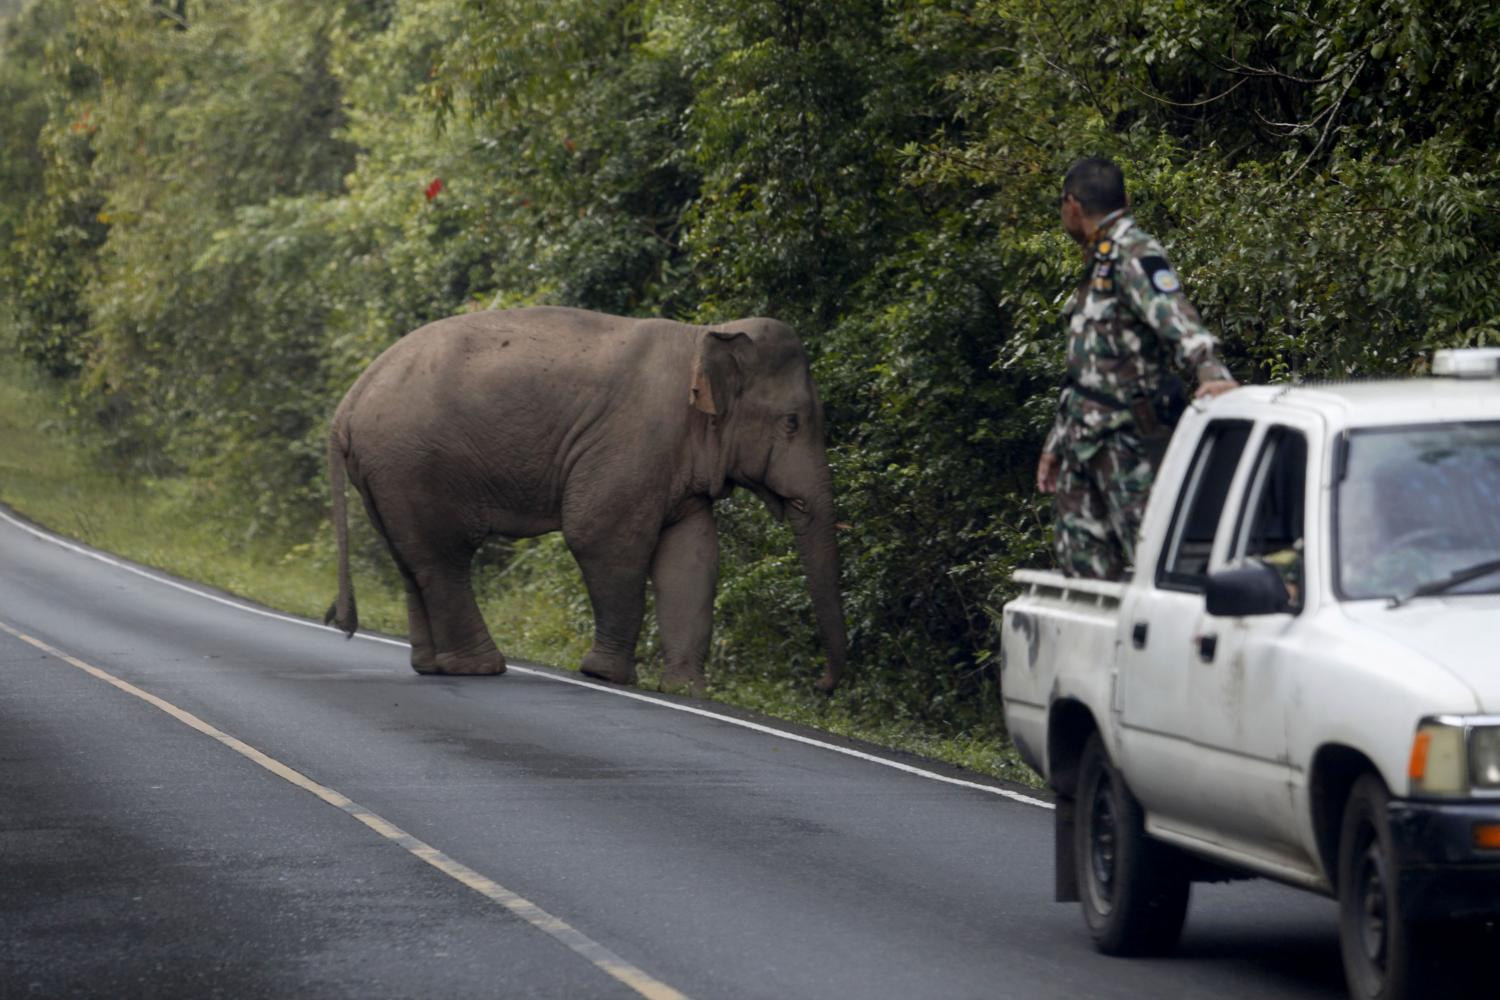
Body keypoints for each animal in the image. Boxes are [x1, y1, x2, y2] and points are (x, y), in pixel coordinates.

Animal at [322, 308, 852, 692]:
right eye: (792, 422)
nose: (822, 684)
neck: (705, 336)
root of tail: (347, 403)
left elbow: (694, 557)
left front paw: (688, 690)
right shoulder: (633, 440)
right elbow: (600, 536)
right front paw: (607, 676)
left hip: (387, 476)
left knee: (412, 560)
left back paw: (433, 666)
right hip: (415, 464)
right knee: (444, 559)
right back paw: (482, 668)